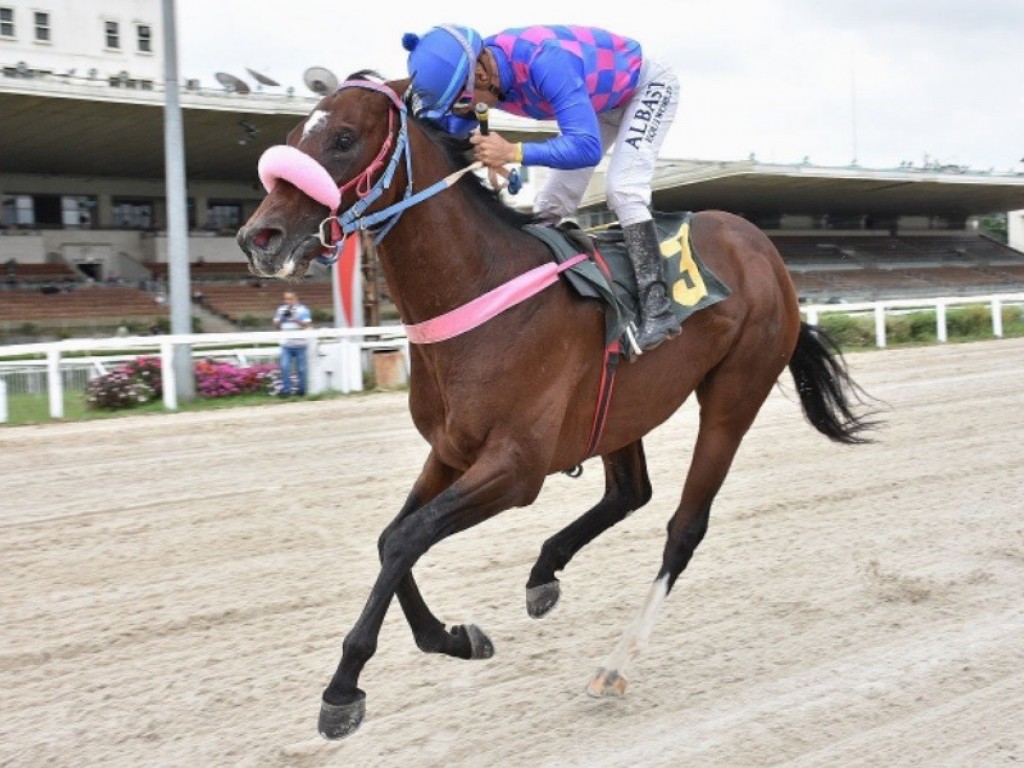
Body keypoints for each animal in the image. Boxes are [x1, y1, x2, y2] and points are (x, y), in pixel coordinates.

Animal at [237, 75, 872, 741]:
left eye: (342, 138)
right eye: (291, 136)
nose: (258, 239)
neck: (481, 286)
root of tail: (763, 247)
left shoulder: (516, 467)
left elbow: (410, 535)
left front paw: (343, 690)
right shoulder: (451, 450)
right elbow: (394, 538)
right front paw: (453, 638)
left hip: (734, 396)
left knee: (683, 528)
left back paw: (615, 665)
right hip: (622, 409)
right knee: (630, 492)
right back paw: (545, 573)